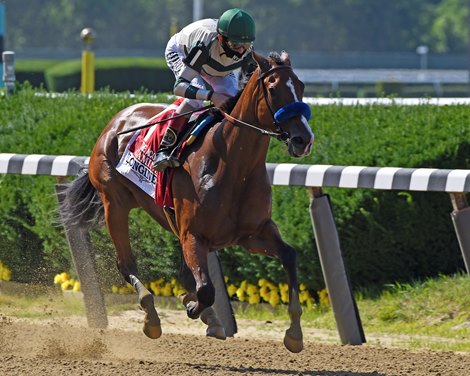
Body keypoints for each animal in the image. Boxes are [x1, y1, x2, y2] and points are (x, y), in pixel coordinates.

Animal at [60, 51, 314, 354]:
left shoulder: (254, 234)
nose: (303, 139)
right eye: (273, 89)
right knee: (126, 264)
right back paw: (151, 316)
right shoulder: (194, 234)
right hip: (114, 204)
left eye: (300, 86)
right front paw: (193, 306)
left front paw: (295, 334)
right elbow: (206, 289)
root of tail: (115, 122)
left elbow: (289, 256)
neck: (234, 165)